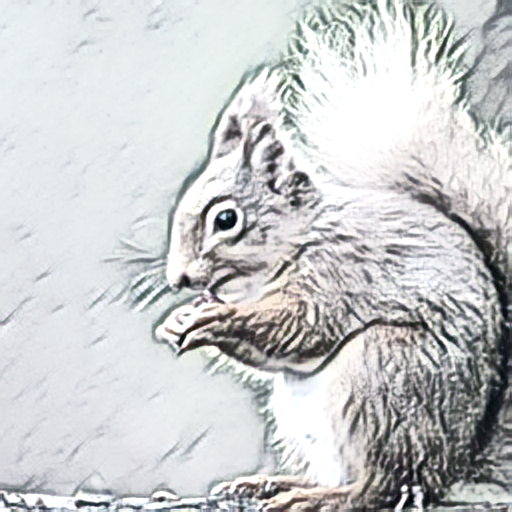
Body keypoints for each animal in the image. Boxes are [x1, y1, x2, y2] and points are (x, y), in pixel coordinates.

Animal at [155, 0, 512, 510]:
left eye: (226, 219)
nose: (179, 280)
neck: (297, 241)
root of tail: (452, 466)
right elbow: (276, 353)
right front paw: (177, 320)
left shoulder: (338, 273)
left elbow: (298, 325)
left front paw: (216, 319)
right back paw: (274, 484)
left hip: (383, 374)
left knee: (381, 485)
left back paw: (321, 497)